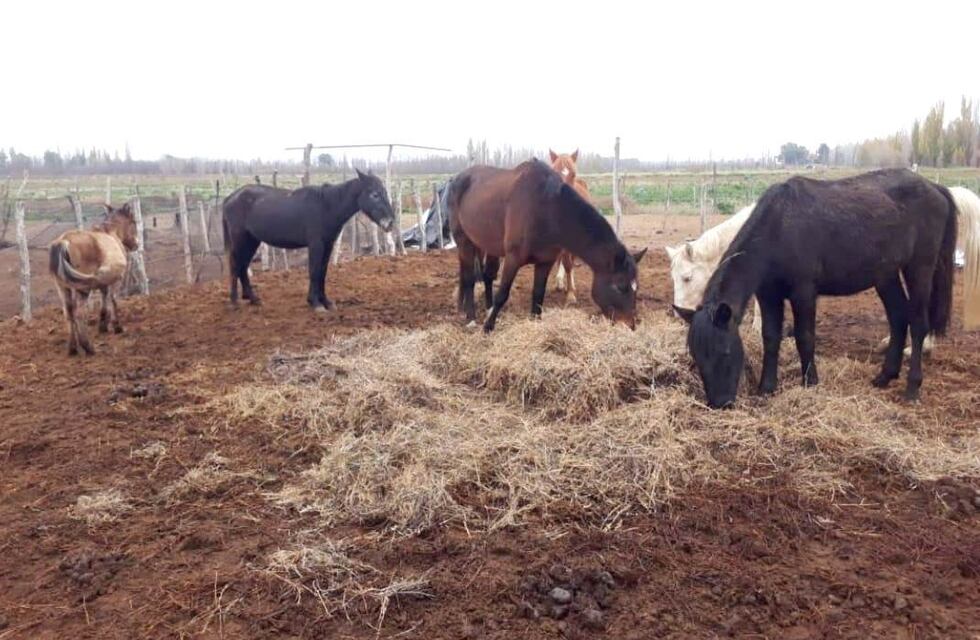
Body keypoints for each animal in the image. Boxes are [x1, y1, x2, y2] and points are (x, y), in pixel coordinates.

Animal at [48, 203, 138, 355]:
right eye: (134, 222)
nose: (136, 244)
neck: (112, 233)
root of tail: (64, 241)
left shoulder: (103, 283)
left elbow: (104, 301)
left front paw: (103, 325)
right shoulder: (116, 281)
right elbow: (113, 300)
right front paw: (117, 326)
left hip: (63, 287)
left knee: (69, 313)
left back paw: (73, 348)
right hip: (82, 288)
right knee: (79, 313)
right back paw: (87, 346)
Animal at [221, 169, 394, 312]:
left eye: (385, 193)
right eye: (375, 195)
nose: (390, 222)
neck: (326, 206)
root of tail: (230, 198)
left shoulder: (328, 245)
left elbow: (323, 272)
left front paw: (326, 302)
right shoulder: (316, 245)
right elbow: (314, 271)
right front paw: (316, 303)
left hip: (251, 241)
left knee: (243, 266)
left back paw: (253, 299)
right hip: (240, 239)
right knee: (235, 265)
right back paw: (234, 302)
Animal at [675, 169, 958, 408]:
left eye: (724, 352)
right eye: (697, 359)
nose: (720, 404)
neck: (779, 227)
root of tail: (934, 187)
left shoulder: (804, 293)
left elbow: (805, 337)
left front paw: (810, 382)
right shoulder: (768, 296)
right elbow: (770, 337)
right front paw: (767, 387)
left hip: (919, 269)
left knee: (918, 325)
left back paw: (912, 388)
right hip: (886, 275)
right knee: (898, 318)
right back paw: (885, 377)